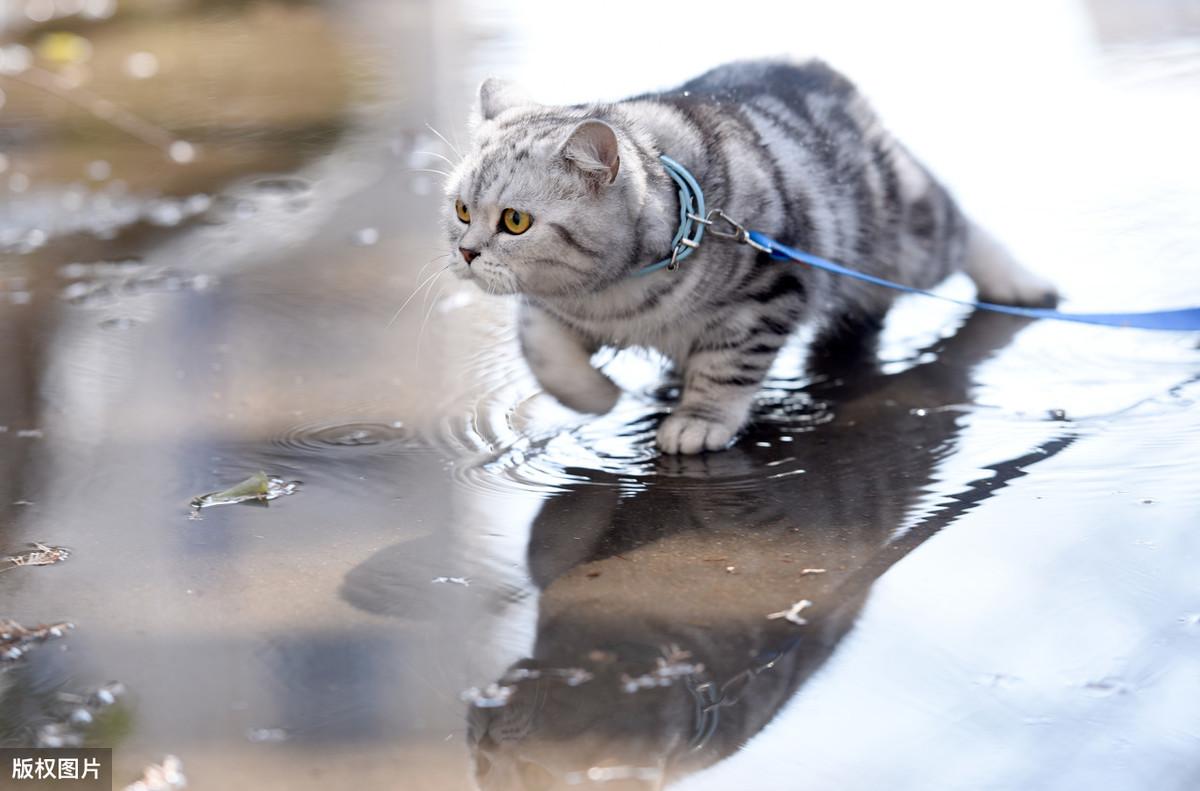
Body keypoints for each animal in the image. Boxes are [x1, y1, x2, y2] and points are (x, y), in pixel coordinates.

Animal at [446, 58, 1056, 453]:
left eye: (515, 221)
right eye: (460, 210)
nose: (466, 252)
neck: (611, 296)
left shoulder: (765, 296)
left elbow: (726, 368)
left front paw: (697, 422)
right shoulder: (550, 309)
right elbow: (545, 353)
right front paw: (599, 397)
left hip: (906, 236)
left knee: (961, 225)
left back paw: (1020, 284)